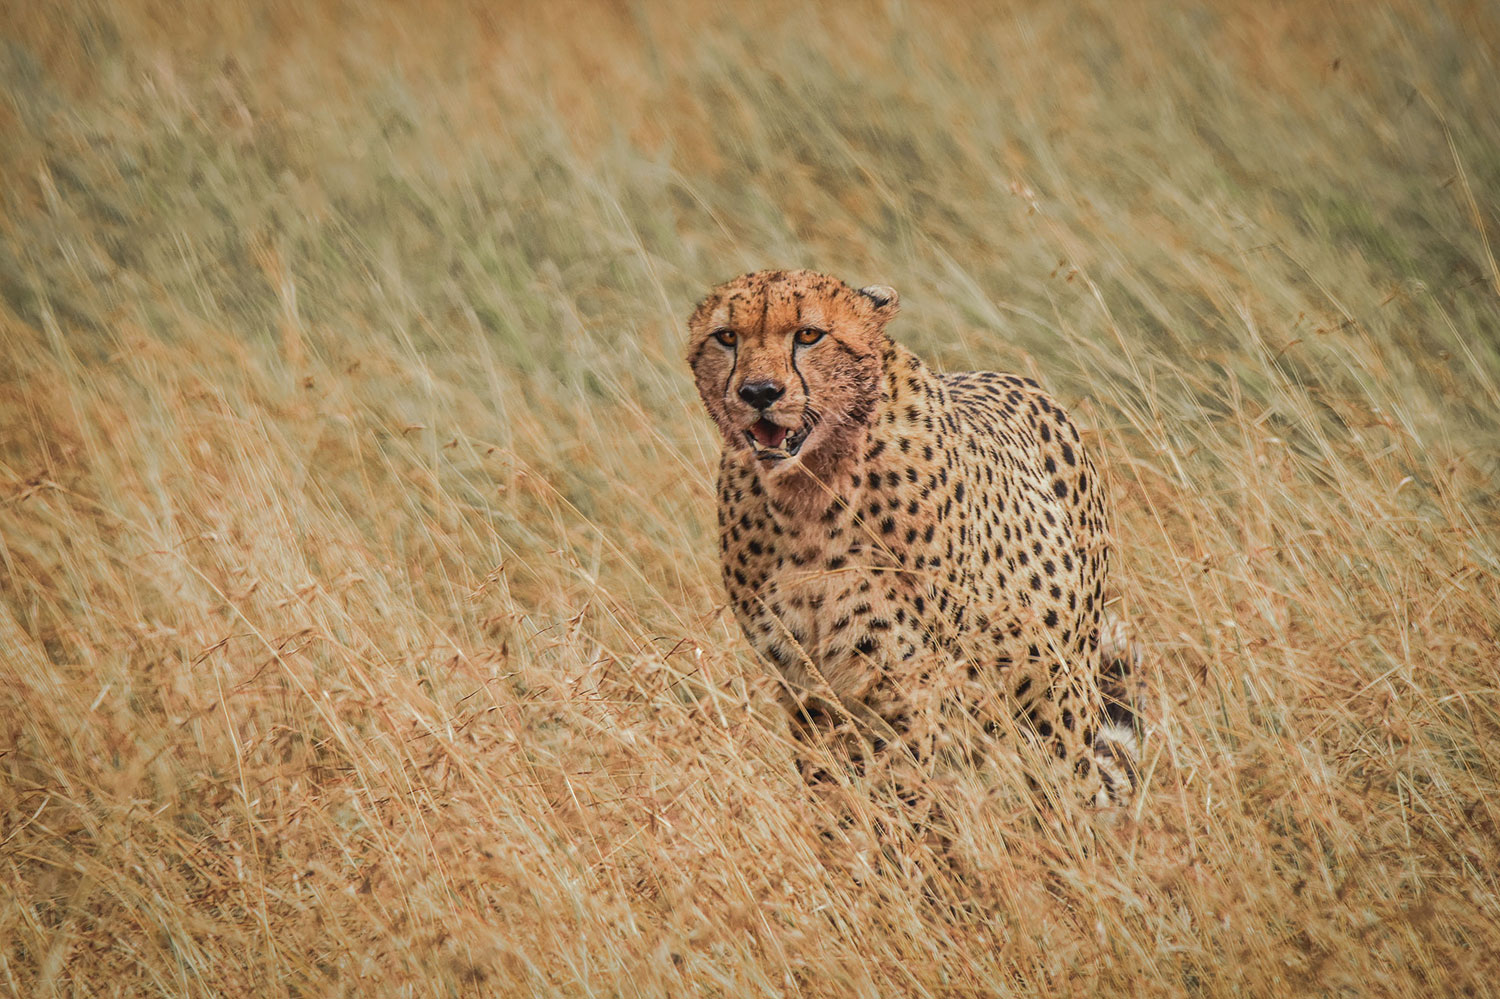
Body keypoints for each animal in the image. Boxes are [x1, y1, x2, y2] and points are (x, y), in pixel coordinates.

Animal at [687, 264, 1134, 804]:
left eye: (809, 335)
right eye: (727, 337)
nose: (758, 393)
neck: (810, 495)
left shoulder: (907, 681)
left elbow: (903, 792)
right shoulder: (806, 685)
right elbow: (833, 793)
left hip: (1055, 697)